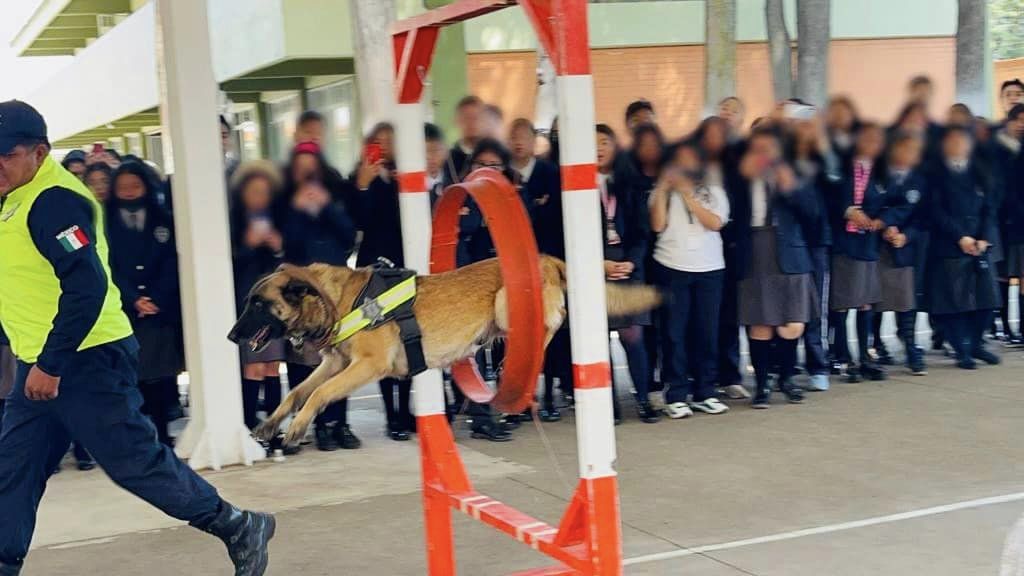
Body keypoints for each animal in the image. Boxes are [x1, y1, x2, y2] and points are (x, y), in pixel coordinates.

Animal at [230, 255, 663, 444]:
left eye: (258, 304)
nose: (231, 336)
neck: (335, 301)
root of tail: (550, 259)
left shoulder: (365, 367)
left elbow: (317, 394)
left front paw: (298, 427)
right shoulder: (336, 365)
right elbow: (296, 393)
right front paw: (272, 423)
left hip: (507, 304)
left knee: (546, 330)